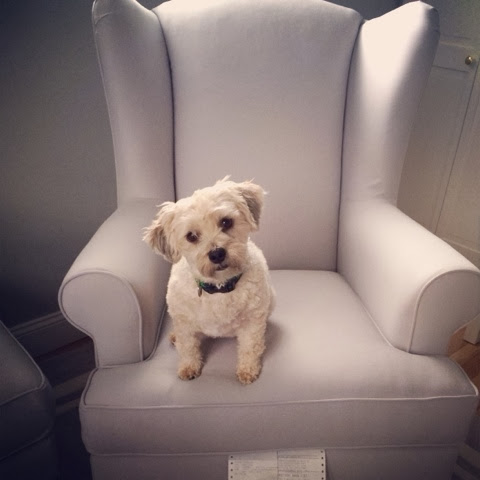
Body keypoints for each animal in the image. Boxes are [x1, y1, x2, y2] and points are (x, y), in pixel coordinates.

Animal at [143, 178, 275, 384]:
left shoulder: (252, 321)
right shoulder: (184, 322)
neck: (219, 287)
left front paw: (248, 370)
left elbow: (250, 347)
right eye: (191, 236)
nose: (217, 253)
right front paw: (188, 368)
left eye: (226, 222)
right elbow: (188, 347)